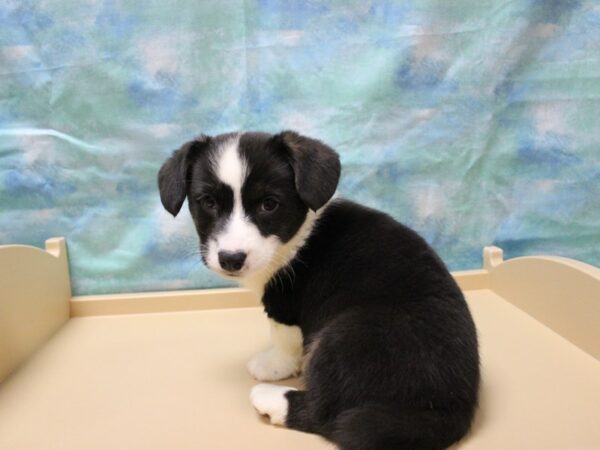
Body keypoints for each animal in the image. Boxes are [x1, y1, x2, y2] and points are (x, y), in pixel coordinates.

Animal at [157, 132, 480, 450]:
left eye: (269, 204)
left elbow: (283, 340)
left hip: (343, 334)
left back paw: (270, 399)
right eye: (208, 202)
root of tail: (449, 411)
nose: (231, 259)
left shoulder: (283, 304)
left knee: (328, 415)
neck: (296, 237)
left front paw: (272, 366)